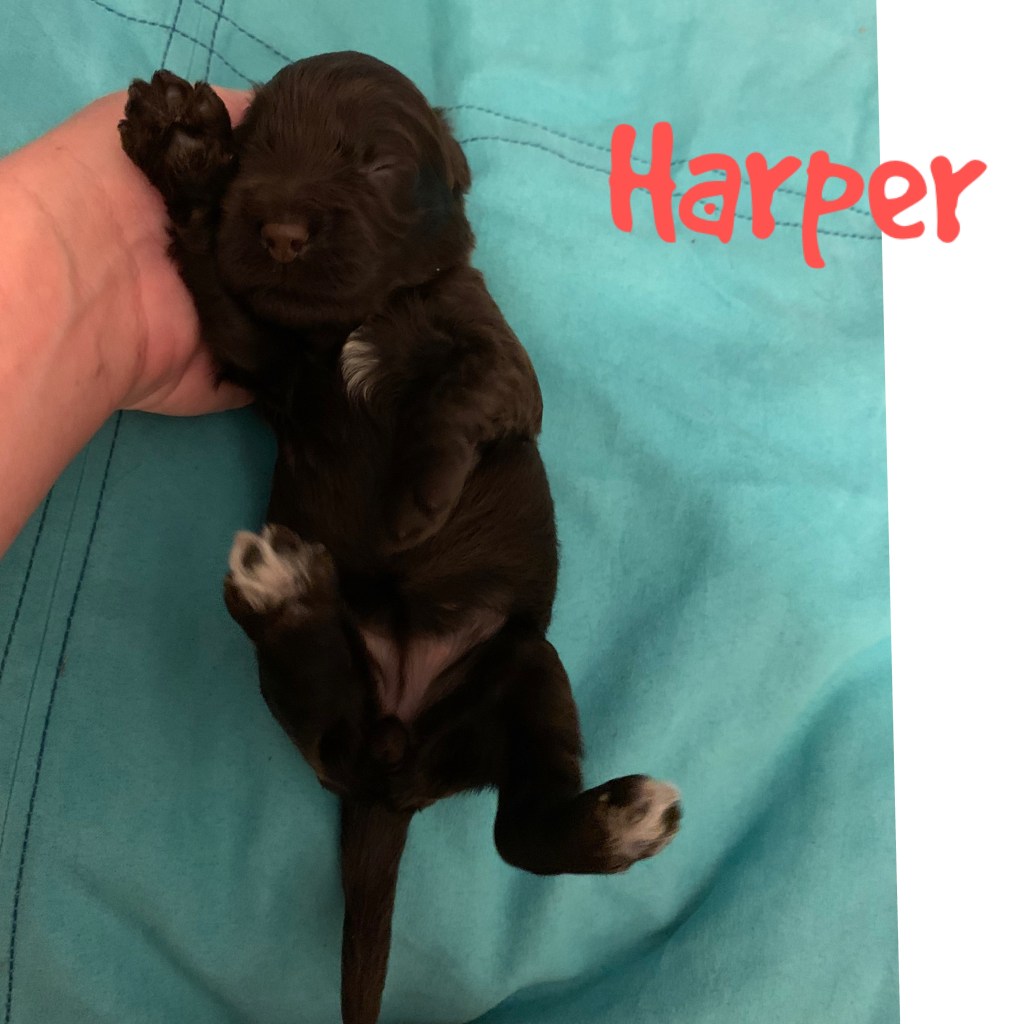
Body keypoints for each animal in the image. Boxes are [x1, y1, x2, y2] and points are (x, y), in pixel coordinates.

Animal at [119, 51, 682, 1024]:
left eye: (377, 164)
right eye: (253, 157)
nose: (282, 232)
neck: (355, 318)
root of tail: (399, 760)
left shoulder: (504, 362)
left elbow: (458, 386)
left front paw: (418, 504)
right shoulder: (258, 354)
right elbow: (218, 276)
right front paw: (182, 145)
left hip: (526, 670)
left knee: (518, 831)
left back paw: (617, 820)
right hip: (320, 688)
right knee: (331, 736)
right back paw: (283, 594)